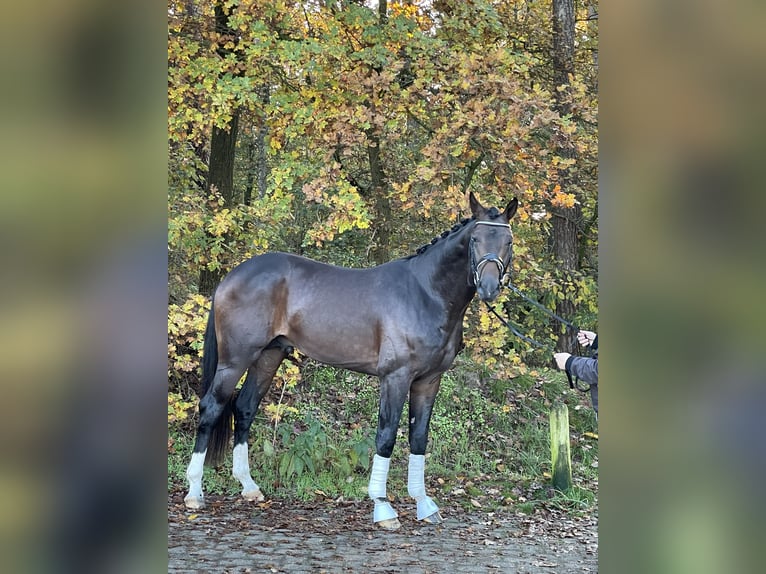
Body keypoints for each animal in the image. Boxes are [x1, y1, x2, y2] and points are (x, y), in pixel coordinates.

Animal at [184, 194, 520, 532]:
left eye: (508, 241)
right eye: (475, 239)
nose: (489, 287)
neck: (425, 293)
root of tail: (232, 276)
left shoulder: (429, 380)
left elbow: (419, 437)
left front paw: (424, 504)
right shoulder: (396, 377)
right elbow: (386, 436)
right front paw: (383, 507)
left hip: (269, 355)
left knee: (244, 408)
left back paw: (249, 487)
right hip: (235, 359)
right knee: (211, 407)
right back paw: (194, 492)